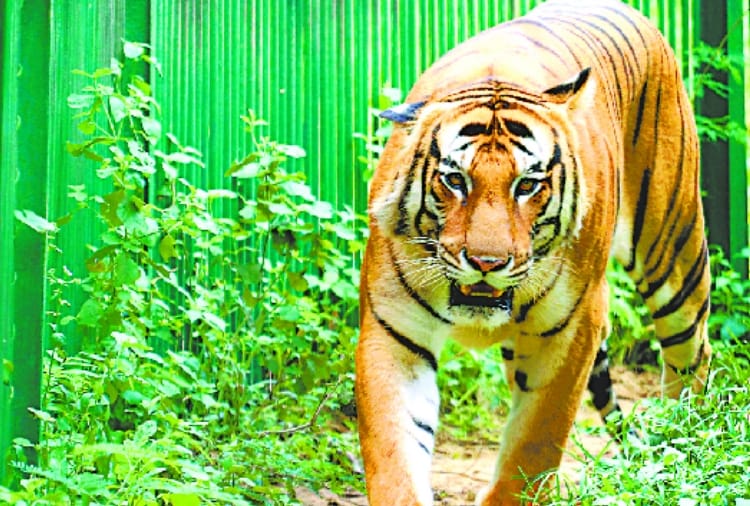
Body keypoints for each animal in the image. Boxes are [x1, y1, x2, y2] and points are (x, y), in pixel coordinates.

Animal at [355, 0, 712, 504]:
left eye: (527, 185)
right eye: (455, 180)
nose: (486, 263)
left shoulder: (572, 330)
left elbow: (535, 444)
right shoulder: (394, 333)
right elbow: (394, 453)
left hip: (672, 247)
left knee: (693, 356)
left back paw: (683, 449)